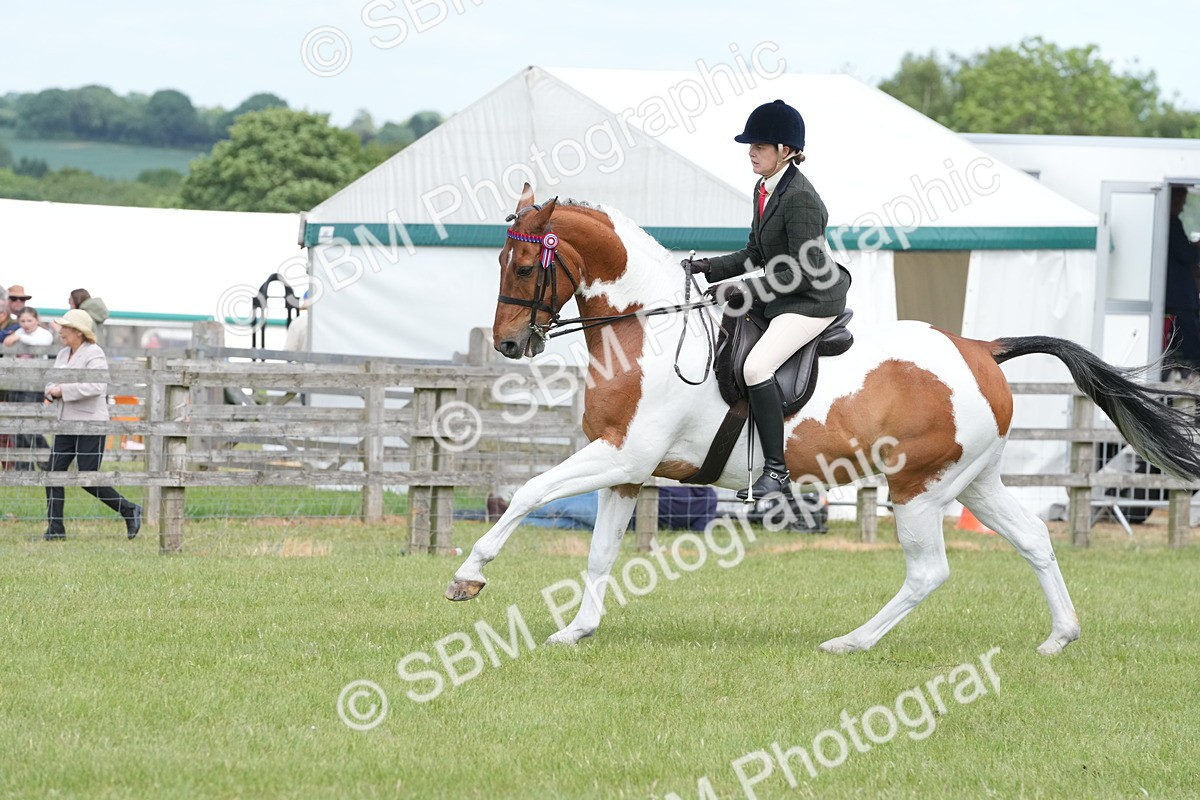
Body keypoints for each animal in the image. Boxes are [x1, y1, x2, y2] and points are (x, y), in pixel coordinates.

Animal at [446, 183, 1200, 656]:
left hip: (917, 488)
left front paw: (470, 575)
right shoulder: (627, 467)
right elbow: (601, 551)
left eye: (522, 264)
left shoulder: (622, 456)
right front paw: (577, 631)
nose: (509, 344)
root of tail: (983, 348)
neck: (648, 329)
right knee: (1035, 541)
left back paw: (851, 641)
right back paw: (1059, 637)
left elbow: (529, 493)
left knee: (929, 573)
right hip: (975, 483)